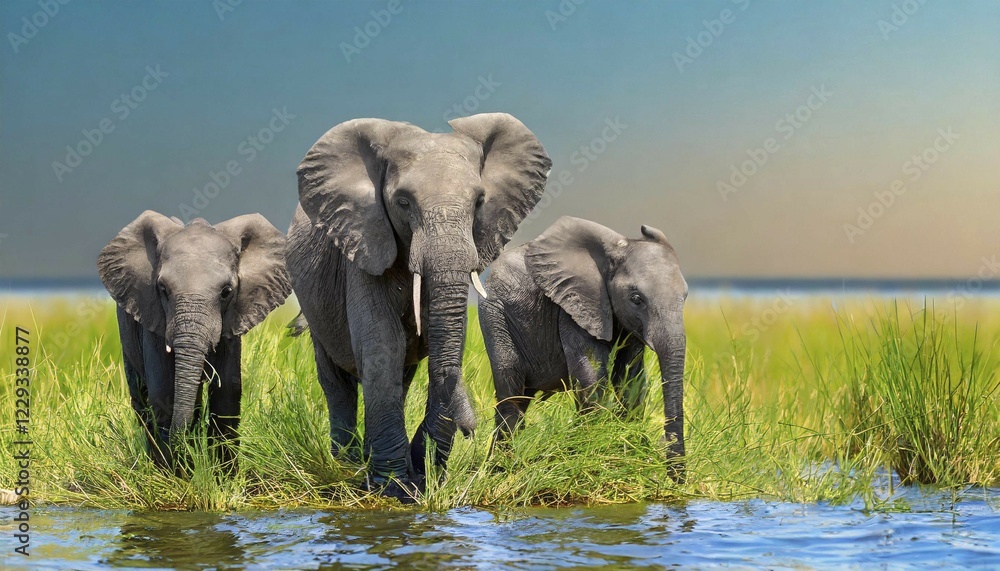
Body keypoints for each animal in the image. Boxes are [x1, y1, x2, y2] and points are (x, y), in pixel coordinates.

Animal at [98, 211, 291, 470]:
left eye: (226, 292)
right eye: (163, 289)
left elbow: (227, 392)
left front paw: (224, 476)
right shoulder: (153, 321)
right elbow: (164, 393)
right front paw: (176, 475)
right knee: (141, 398)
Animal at [285, 113, 551, 498]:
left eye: (479, 202)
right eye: (403, 202)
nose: (472, 429)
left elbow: (439, 344)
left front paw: (421, 481)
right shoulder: (365, 241)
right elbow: (383, 345)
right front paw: (393, 489)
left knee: (403, 376)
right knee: (338, 381)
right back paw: (349, 466)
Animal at [478, 216, 688, 477]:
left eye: (685, 297)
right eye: (636, 299)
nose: (676, 480)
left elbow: (630, 380)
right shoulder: (574, 305)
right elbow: (591, 376)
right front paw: (593, 458)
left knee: (521, 400)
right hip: (495, 316)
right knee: (511, 395)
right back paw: (499, 471)